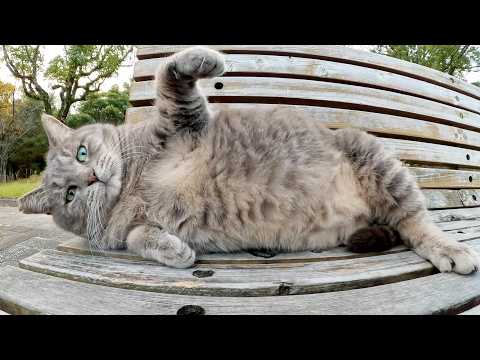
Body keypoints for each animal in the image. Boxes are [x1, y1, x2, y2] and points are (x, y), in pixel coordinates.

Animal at [16, 46, 478, 274]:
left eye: (82, 152)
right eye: (70, 195)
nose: (92, 178)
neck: (131, 183)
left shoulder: (183, 120)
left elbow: (169, 74)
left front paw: (206, 59)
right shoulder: (125, 230)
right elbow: (137, 238)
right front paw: (175, 251)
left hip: (379, 163)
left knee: (416, 223)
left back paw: (450, 249)